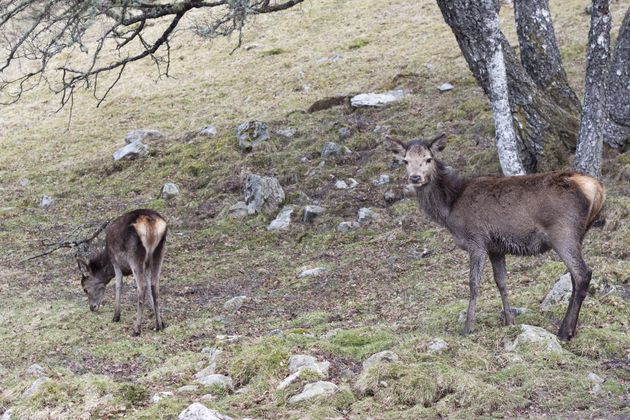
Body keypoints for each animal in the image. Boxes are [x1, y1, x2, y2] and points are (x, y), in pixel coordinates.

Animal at [77, 208, 168, 336]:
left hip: (134, 255)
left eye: (85, 289)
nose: (92, 307)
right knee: (155, 285)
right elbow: (150, 288)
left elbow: (118, 285)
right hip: (159, 251)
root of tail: (149, 222)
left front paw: (116, 316)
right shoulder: (146, 266)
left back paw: (136, 329)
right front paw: (161, 320)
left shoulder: (116, 262)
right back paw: (158, 325)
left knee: (142, 286)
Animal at [390, 135, 608, 342]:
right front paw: (509, 321)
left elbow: (474, 283)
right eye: (406, 161)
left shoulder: (476, 239)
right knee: (574, 277)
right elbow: (501, 282)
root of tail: (598, 188)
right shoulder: (496, 247)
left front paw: (468, 328)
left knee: (582, 274)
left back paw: (564, 332)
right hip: (577, 236)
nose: (415, 177)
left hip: (563, 233)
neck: (450, 206)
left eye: (428, 158)